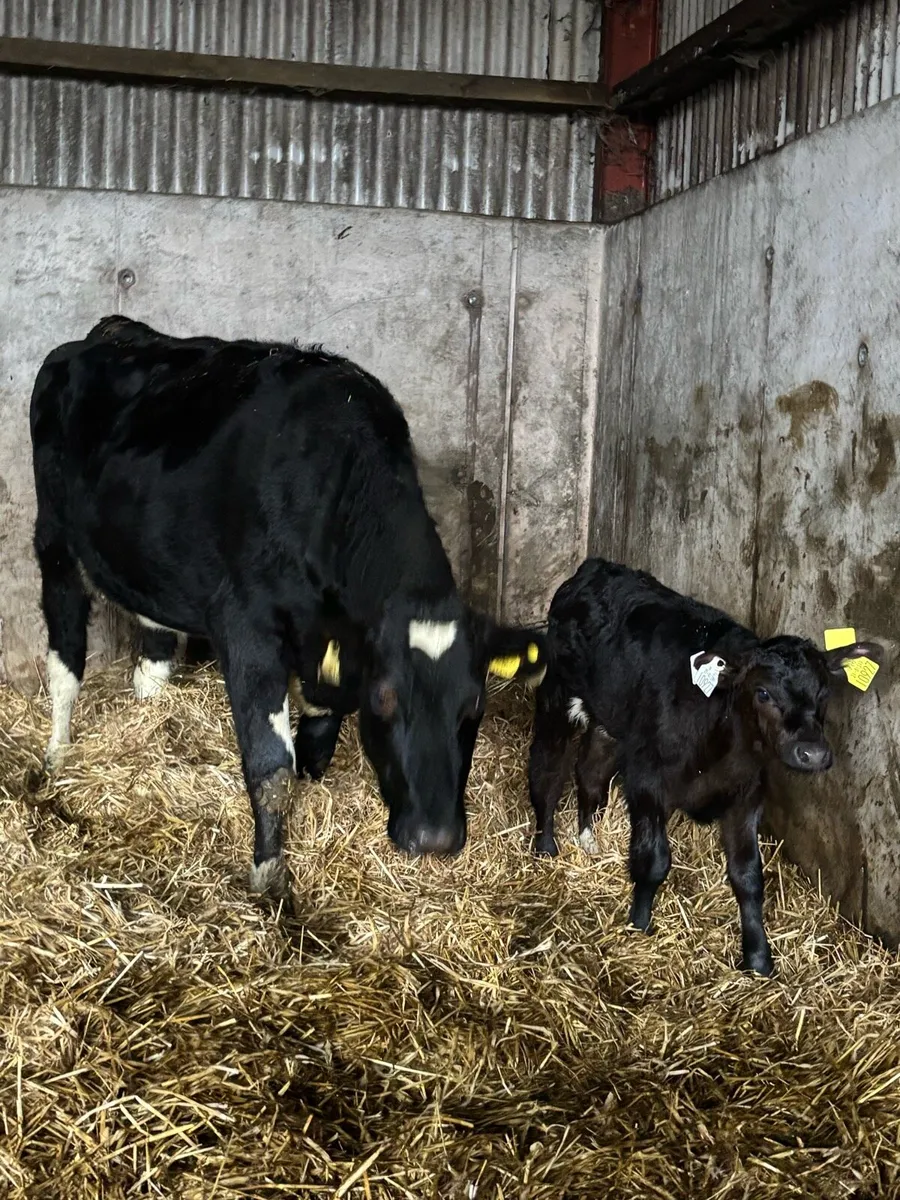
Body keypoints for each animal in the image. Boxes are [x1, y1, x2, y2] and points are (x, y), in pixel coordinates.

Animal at [31, 315, 547, 898]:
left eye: (475, 704)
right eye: (384, 698)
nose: (435, 838)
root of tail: (111, 330)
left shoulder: (330, 645)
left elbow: (319, 732)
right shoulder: (246, 628)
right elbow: (273, 764)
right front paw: (269, 876)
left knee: (153, 659)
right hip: (54, 541)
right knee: (65, 661)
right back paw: (55, 757)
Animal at [528, 557, 881, 976]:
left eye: (824, 692)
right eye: (763, 693)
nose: (811, 752)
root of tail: (596, 566)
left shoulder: (746, 796)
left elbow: (748, 876)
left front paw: (758, 958)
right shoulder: (646, 779)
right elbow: (654, 860)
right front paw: (639, 924)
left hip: (610, 720)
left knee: (590, 772)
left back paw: (589, 840)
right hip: (556, 694)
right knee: (548, 772)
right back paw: (545, 846)